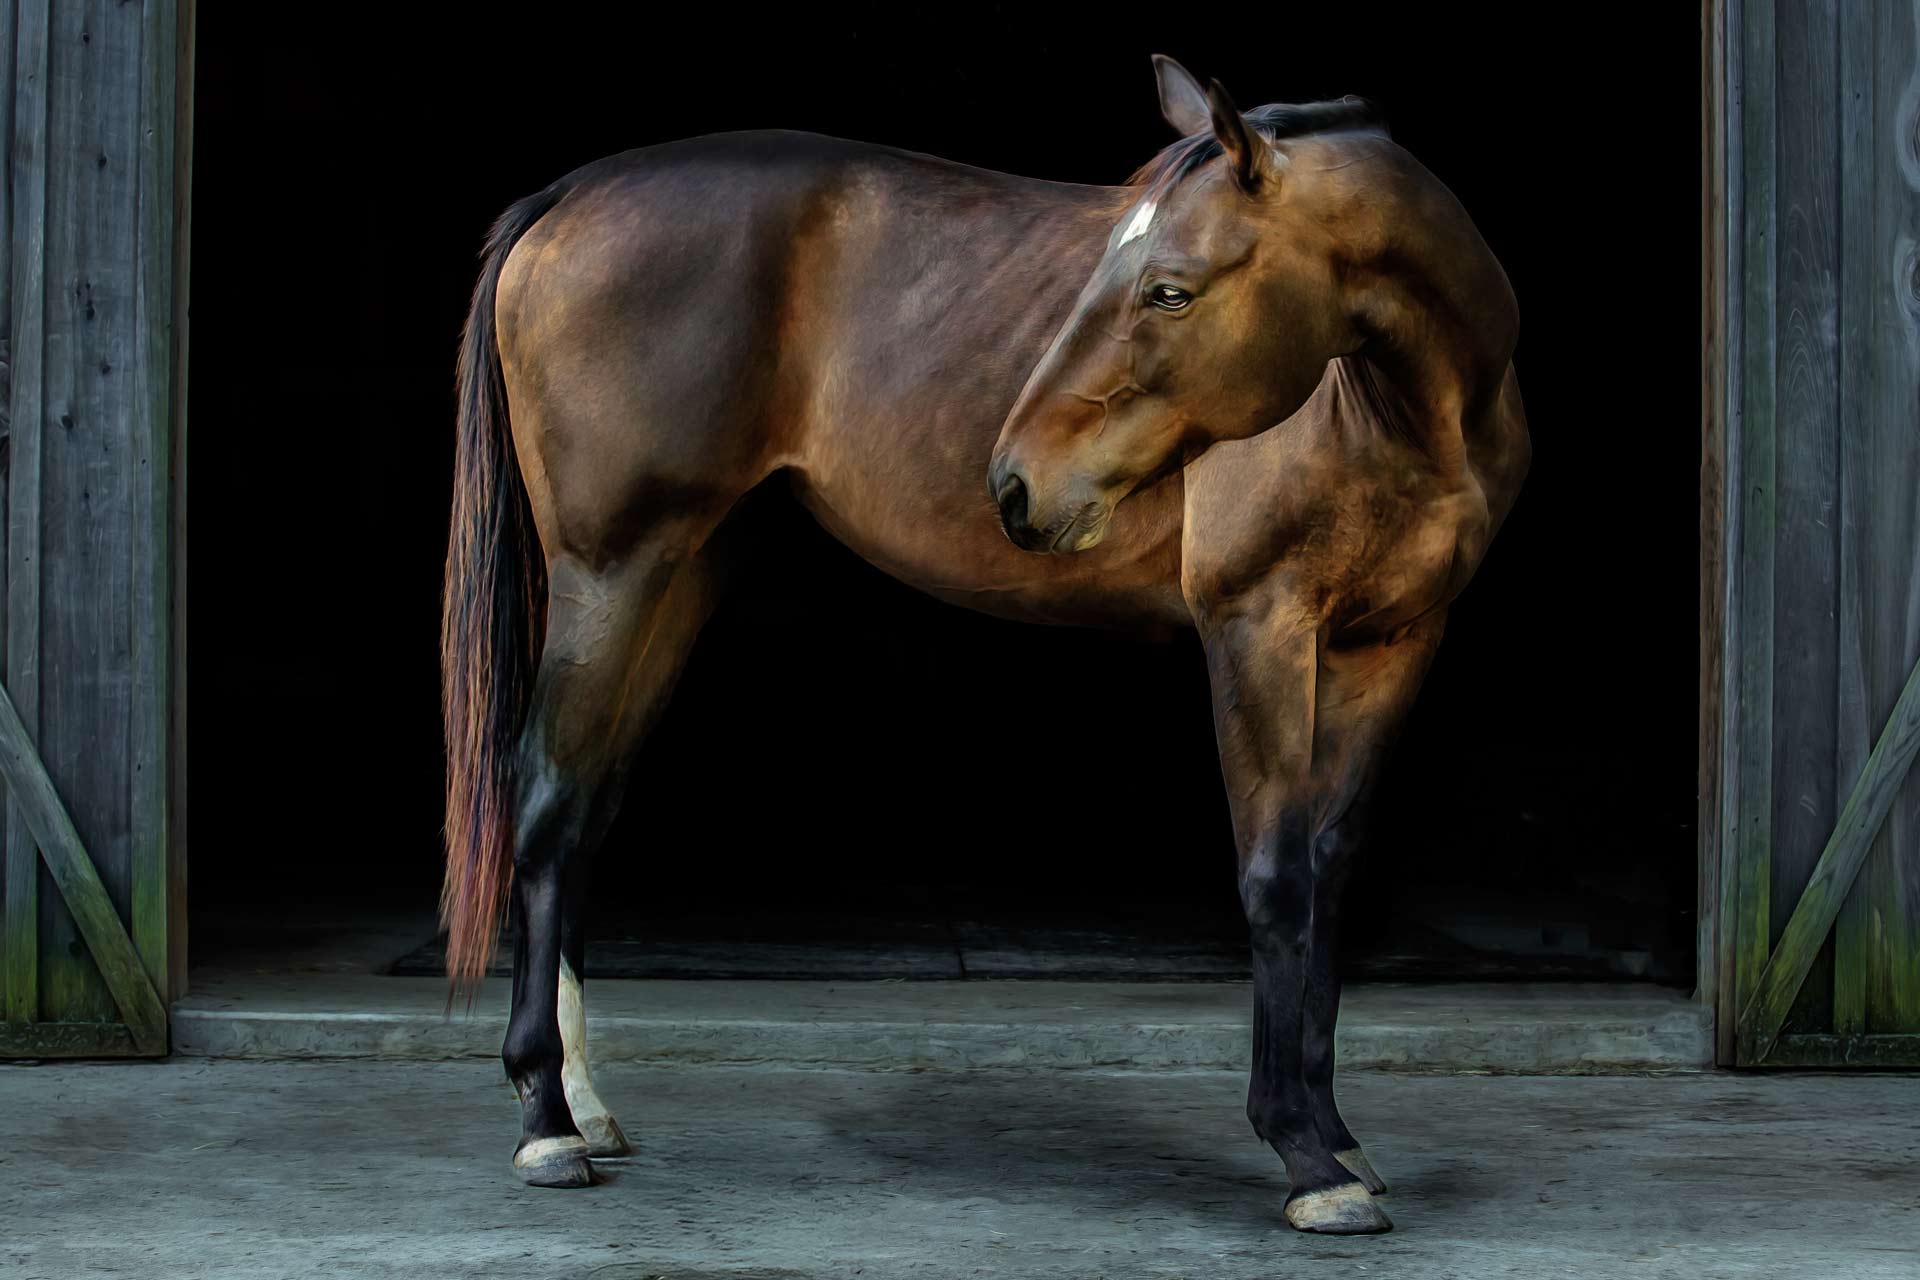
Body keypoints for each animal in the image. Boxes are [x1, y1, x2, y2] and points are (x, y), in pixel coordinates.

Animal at [440, 56, 1527, 1235]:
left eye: (1170, 289)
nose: (1016, 484)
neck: (1398, 407)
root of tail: (571, 194)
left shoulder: (1393, 643)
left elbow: (1329, 873)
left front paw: (1338, 1138)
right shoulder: (1258, 626)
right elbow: (1276, 877)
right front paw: (1305, 1157)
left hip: (680, 571)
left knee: (586, 809)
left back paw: (586, 1106)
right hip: (611, 570)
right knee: (546, 804)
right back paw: (546, 1122)